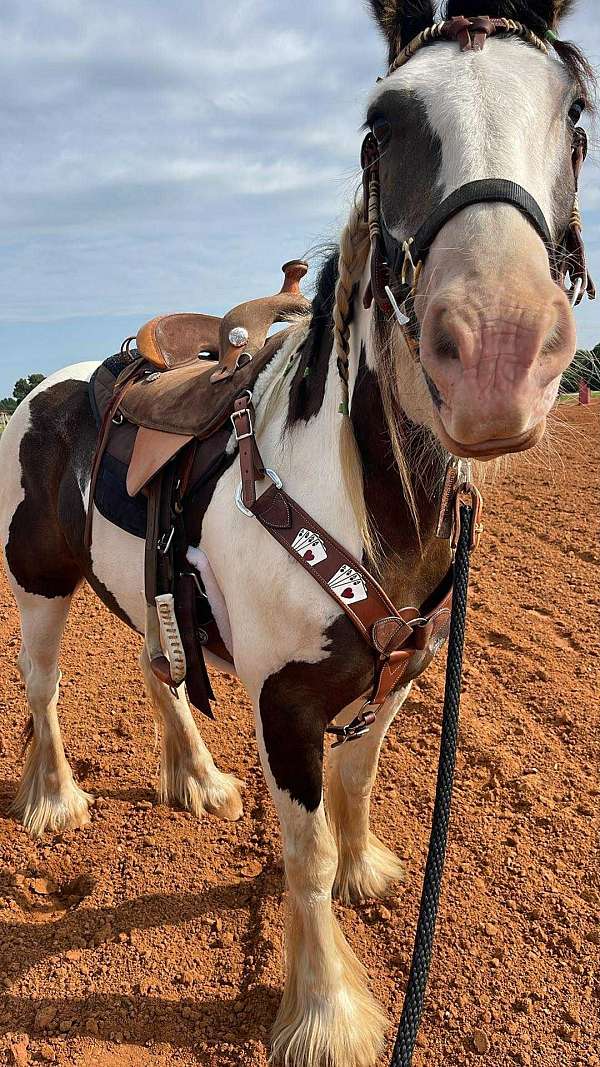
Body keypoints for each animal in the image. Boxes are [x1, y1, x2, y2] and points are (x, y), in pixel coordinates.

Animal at [0, 2, 594, 1064]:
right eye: (379, 127)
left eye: (573, 116)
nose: (499, 350)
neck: (360, 509)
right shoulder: (284, 704)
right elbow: (304, 854)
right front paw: (326, 1011)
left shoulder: (398, 678)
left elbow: (358, 788)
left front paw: (370, 873)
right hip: (38, 586)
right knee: (43, 688)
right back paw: (56, 800)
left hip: (149, 598)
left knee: (159, 673)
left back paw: (198, 781)